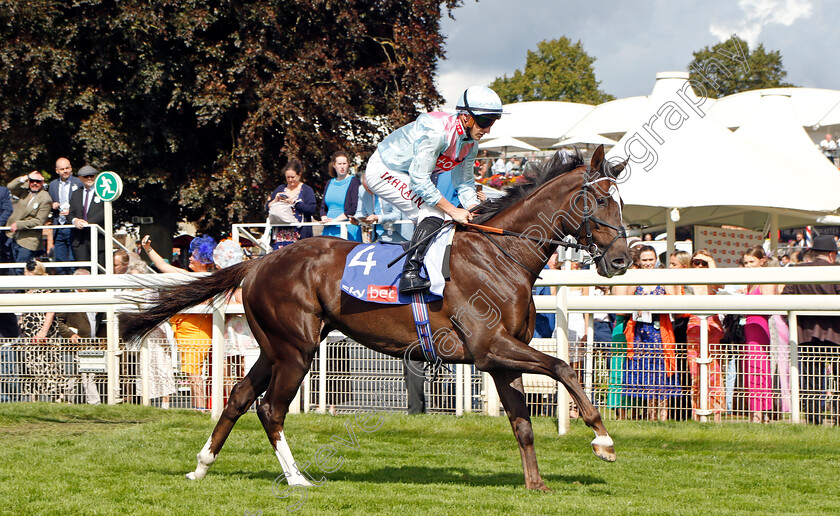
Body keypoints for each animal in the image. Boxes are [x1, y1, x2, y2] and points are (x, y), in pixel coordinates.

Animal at [120, 145, 632, 492]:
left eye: (623, 203)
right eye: (599, 202)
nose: (622, 260)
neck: (500, 254)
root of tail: (260, 260)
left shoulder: (502, 359)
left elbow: (523, 422)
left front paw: (535, 484)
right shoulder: (490, 348)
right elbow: (563, 367)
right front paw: (603, 440)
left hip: (273, 346)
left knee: (240, 397)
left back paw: (201, 465)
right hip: (297, 349)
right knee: (270, 408)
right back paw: (297, 477)